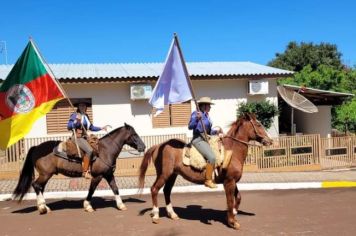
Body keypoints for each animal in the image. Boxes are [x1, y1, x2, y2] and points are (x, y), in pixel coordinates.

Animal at [13, 123, 145, 214]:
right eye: (134, 134)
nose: (143, 147)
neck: (105, 150)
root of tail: (36, 147)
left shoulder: (108, 174)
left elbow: (115, 189)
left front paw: (121, 205)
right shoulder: (98, 176)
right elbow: (91, 190)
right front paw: (88, 206)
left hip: (45, 175)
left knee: (40, 187)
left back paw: (45, 207)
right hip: (45, 174)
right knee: (36, 185)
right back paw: (41, 208)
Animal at [139, 113, 272, 230]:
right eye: (258, 124)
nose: (270, 141)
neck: (232, 150)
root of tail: (158, 146)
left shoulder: (233, 181)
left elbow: (238, 198)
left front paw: (233, 214)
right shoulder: (229, 182)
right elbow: (230, 201)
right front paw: (232, 222)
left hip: (172, 175)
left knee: (166, 191)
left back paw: (173, 214)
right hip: (164, 174)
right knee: (154, 189)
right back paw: (156, 216)